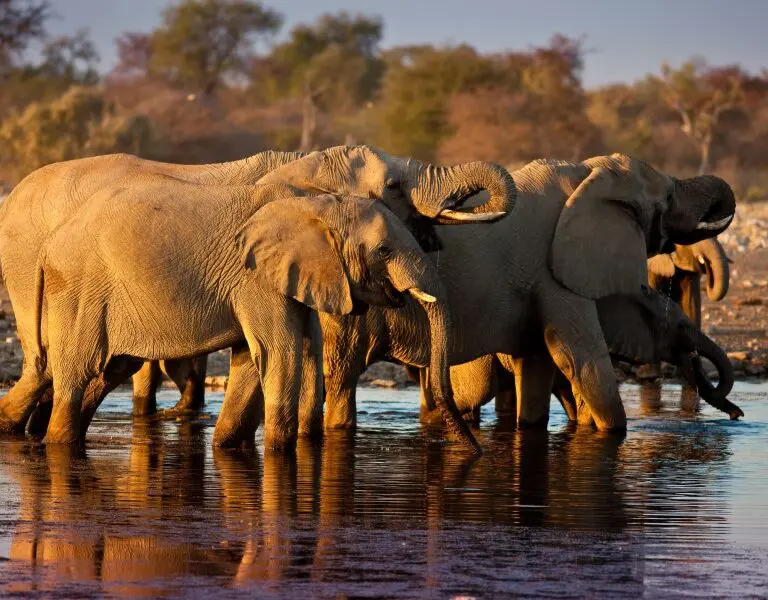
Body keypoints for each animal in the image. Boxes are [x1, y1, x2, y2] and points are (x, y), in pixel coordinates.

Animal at [317, 154, 736, 434]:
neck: (588, 175)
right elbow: (580, 359)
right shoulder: (556, 273)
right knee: (343, 376)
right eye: (668, 197)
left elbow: (537, 363)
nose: (737, 416)